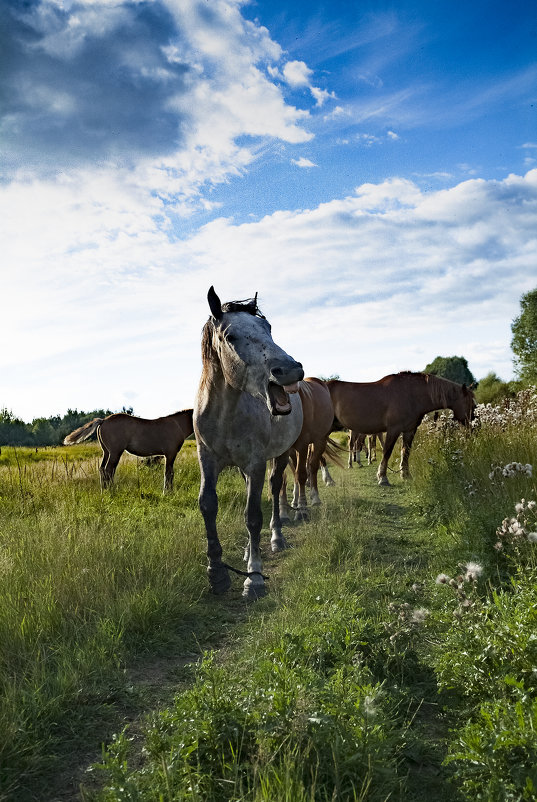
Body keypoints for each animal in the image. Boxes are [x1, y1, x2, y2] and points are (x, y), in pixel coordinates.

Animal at [63, 410, 193, 490]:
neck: (177, 424)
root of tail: (103, 420)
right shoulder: (170, 454)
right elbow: (169, 473)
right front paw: (167, 492)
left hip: (106, 452)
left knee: (103, 469)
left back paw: (104, 491)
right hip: (115, 452)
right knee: (108, 470)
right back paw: (111, 492)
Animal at [194, 288, 304, 600]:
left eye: (268, 327)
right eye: (230, 336)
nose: (291, 370)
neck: (225, 415)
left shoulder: (256, 464)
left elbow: (253, 516)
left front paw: (253, 578)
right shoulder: (207, 459)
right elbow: (208, 505)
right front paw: (216, 574)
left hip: (280, 455)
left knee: (275, 488)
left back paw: (276, 539)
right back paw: (245, 551)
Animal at [326, 372, 474, 484]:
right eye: (470, 402)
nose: (473, 426)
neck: (411, 394)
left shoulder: (409, 430)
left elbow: (405, 452)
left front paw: (406, 475)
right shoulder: (393, 429)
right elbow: (387, 451)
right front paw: (382, 477)